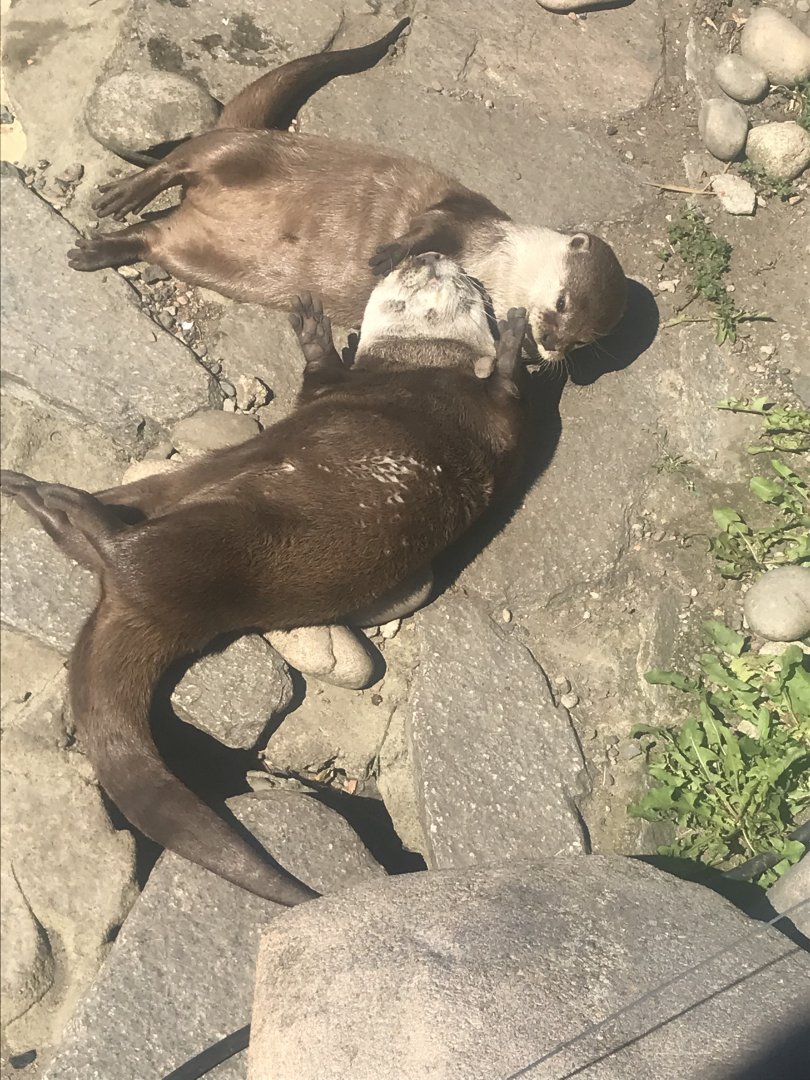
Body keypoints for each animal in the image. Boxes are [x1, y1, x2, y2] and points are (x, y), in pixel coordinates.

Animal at [1, 256, 529, 906]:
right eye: (414, 270)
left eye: (457, 281)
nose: (425, 259)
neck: (420, 371)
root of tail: (151, 606)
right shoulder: (359, 391)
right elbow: (322, 381)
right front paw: (314, 327)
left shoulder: (488, 419)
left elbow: (503, 390)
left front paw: (513, 336)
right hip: (182, 498)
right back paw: (45, 496)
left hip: (210, 539)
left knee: (111, 547)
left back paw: (57, 501)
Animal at [68, 18, 626, 362]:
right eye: (561, 303)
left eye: (580, 343)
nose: (551, 341)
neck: (497, 263)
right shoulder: (464, 214)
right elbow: (427, 225)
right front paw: (389, 254)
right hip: (239, 152)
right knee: (181, 162)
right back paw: (123, 194)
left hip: (191, 249)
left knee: (155, 237)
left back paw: (96, 249)